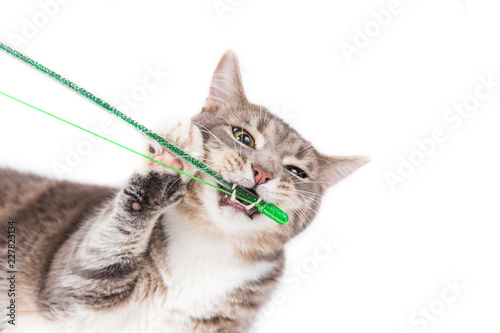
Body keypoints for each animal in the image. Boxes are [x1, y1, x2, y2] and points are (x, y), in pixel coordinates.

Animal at [0, 50, 368, 330]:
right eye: (243, 136)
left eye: (296, 172)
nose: (263, 173)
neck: (210, 245)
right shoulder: (70, 284)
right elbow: (99, 256)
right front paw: (168, 163)